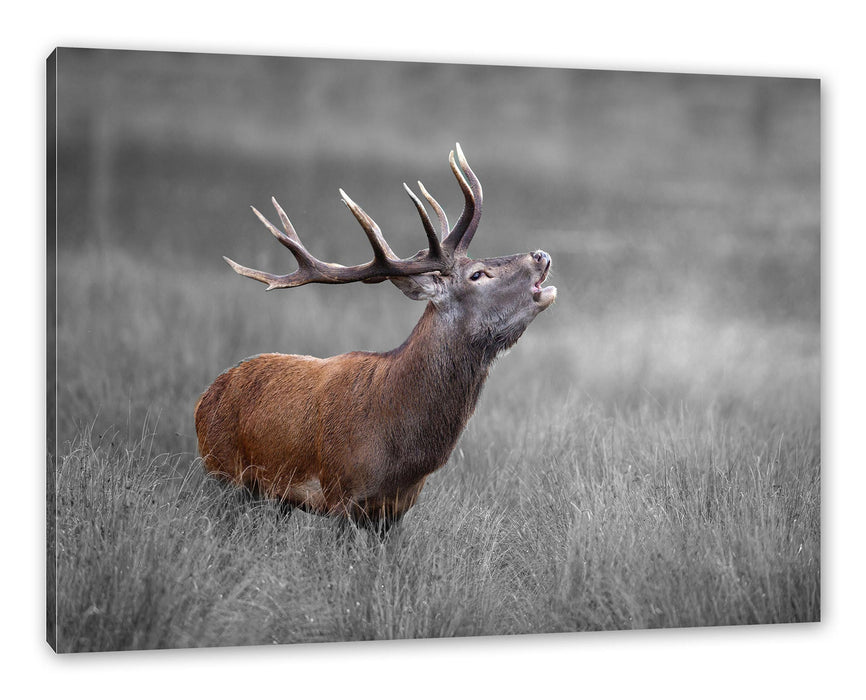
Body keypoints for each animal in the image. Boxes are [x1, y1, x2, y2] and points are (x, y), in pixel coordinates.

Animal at [194, 144, 557, 534]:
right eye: (477, 274)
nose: (541, 255)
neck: (400, 449)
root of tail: (204, 398)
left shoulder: (397, 510)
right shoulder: (340, 493)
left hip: (274, 498)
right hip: (222, 471)